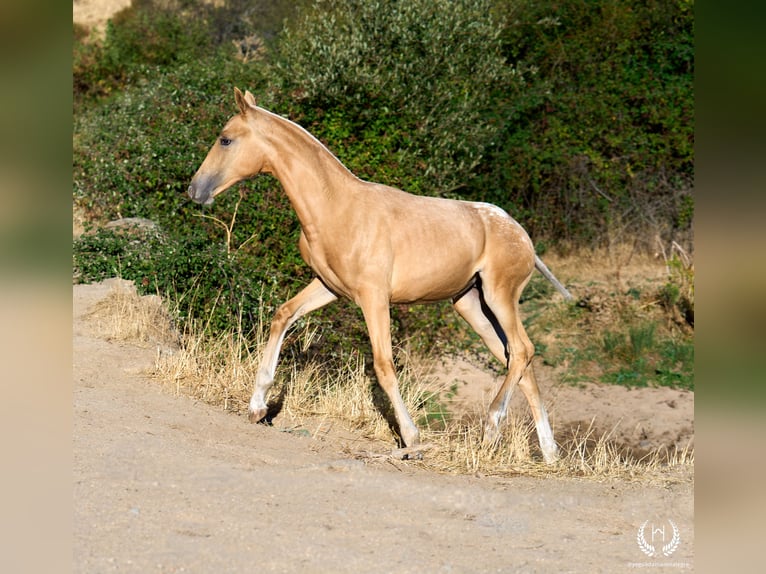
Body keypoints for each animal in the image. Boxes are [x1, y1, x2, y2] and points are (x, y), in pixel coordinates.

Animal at [188, 88, 565, 463]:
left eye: (225, 139)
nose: (194, 190)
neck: (337, 207)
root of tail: (523, 237)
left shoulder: (374, 298)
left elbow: (384, 365)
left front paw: (412, 438)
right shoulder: (328, 287)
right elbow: (283, 315)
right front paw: (257, 407)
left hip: (500, 297)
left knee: (522, 350)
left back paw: (492, 429)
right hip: (471, 303)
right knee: (517, 358)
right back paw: (548, 452)